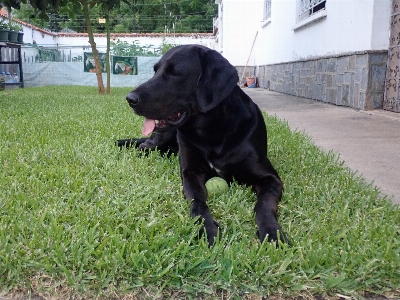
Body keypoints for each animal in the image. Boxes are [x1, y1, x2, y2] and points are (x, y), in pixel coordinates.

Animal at [120, 44, 286, 246]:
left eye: (175, 73)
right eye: (155, 70)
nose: (130, 99)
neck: (213, 132)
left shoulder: (270, 178)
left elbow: (263, 204)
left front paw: (272, 233)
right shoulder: (191, 173)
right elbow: (197, 201)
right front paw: (207, 229)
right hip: (158, 140)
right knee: (143, 146)